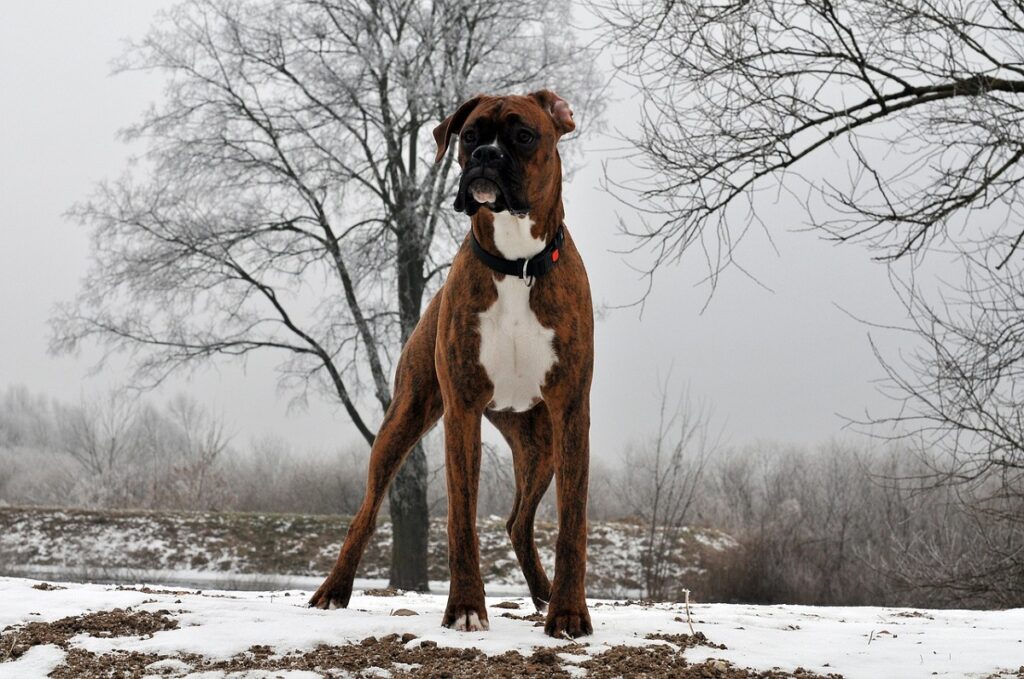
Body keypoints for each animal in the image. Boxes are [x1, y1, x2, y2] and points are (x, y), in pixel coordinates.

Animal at [307, 89, 593, 639]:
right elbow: (461, 516)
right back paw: (333, 590)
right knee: (365, 514)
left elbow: (572, 524)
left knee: (519, 522)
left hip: (540, 444)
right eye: (469, 136)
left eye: (523, 135)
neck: (517, 264)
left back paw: (544, 594)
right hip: (404, 419)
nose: (485, 156)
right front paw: (464, 607)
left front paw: (569, 613)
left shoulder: (571, 411)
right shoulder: (462, 409)